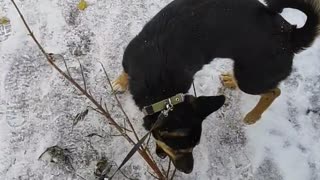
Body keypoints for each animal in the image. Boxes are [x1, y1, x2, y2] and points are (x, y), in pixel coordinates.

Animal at [112, 0, 320, 174]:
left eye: (193, 148)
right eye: (177, 148)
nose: (189, 170)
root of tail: (291, 35)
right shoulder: (130, 58)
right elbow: (125, 72)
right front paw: (120, 82)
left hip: (251, 78)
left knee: (274, 91)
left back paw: (252, 115)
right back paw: (232, 82)